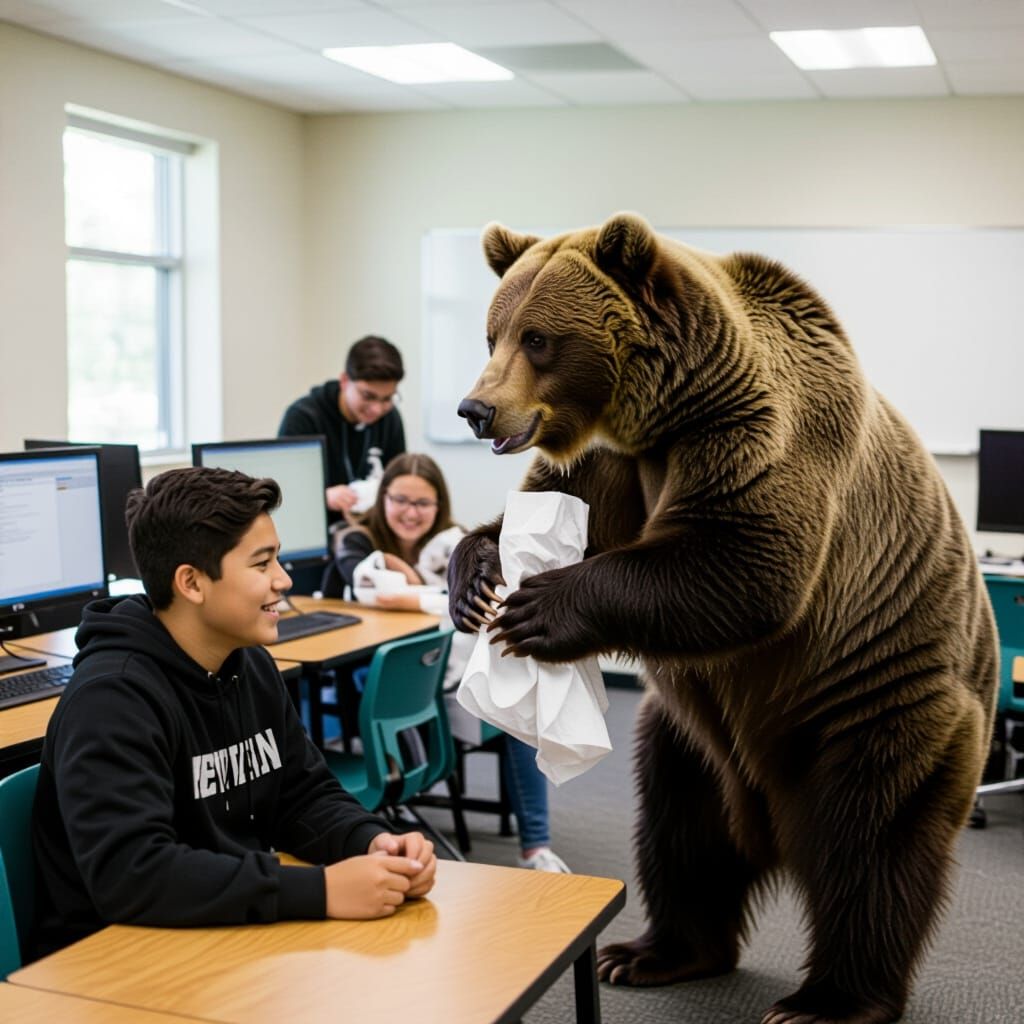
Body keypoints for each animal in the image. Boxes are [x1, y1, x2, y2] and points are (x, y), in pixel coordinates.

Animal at [448, 213, 998, 1024]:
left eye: (539, 338)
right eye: (492, 333)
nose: (475, 408)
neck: (657, 416)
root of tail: (768, 822)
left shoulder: (759, 434)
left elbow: (745, 562)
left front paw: (537, 606)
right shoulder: (614, 463)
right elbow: (564, 514)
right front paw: (475, 577)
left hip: (878, 699)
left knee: (869, 845)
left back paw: (830, 999)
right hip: (690, 740)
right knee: (680, 831)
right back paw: (650, 952)